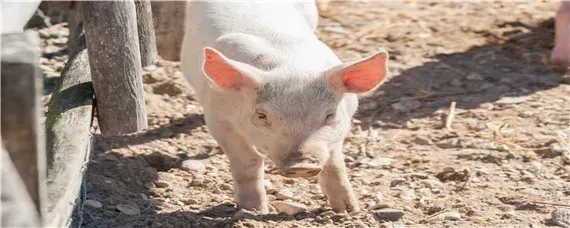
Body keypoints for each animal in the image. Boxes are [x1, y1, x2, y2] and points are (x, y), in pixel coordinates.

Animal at [180, 0, 388, 214]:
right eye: (262, 116)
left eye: (330, 115)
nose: (300, 164)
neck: (291, 66)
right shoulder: (216, 116)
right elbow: (248, 160)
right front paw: (254, 210)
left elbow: (334, 163)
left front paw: (349, 210)